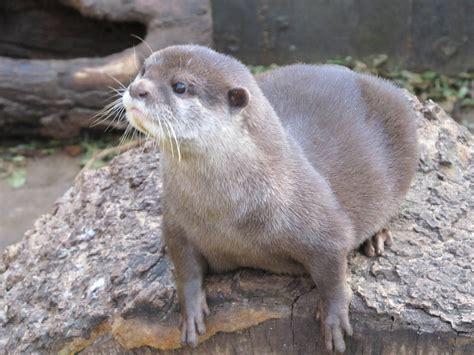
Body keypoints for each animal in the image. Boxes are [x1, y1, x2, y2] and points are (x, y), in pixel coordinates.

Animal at [121, 45, 418, 354]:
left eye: (180, 86)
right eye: (144, 70)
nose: (136, 88)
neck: (229, 213)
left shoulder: (324, 230)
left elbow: (333, 273)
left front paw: (334, 318)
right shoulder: (176, 222)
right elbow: (184, 268)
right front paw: (190, 314)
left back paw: (376, 237)